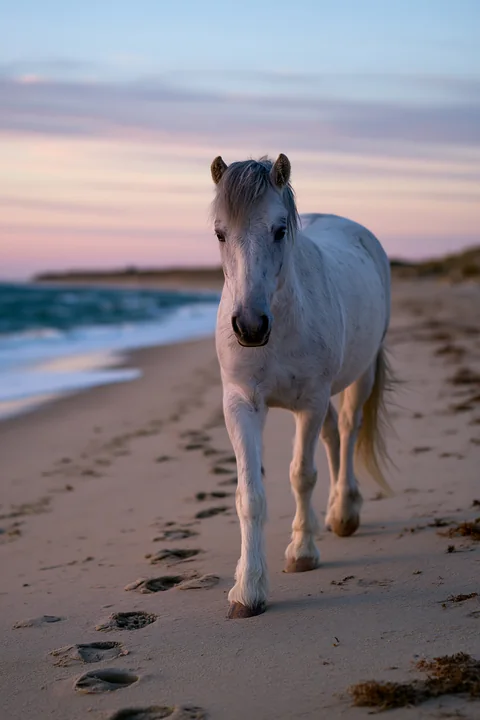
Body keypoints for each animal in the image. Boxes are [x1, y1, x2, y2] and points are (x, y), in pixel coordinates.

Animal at [210, 153, 394, 619]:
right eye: (220, 232)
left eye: (279, 230)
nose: (250, 327)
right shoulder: (241, 404)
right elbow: (250, 495)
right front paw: (248, 589)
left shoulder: (308, 403)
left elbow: (302, 475)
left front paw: (301, 553)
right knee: (332, 436)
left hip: (358, 379)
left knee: (347, 430)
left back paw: (344, 512)